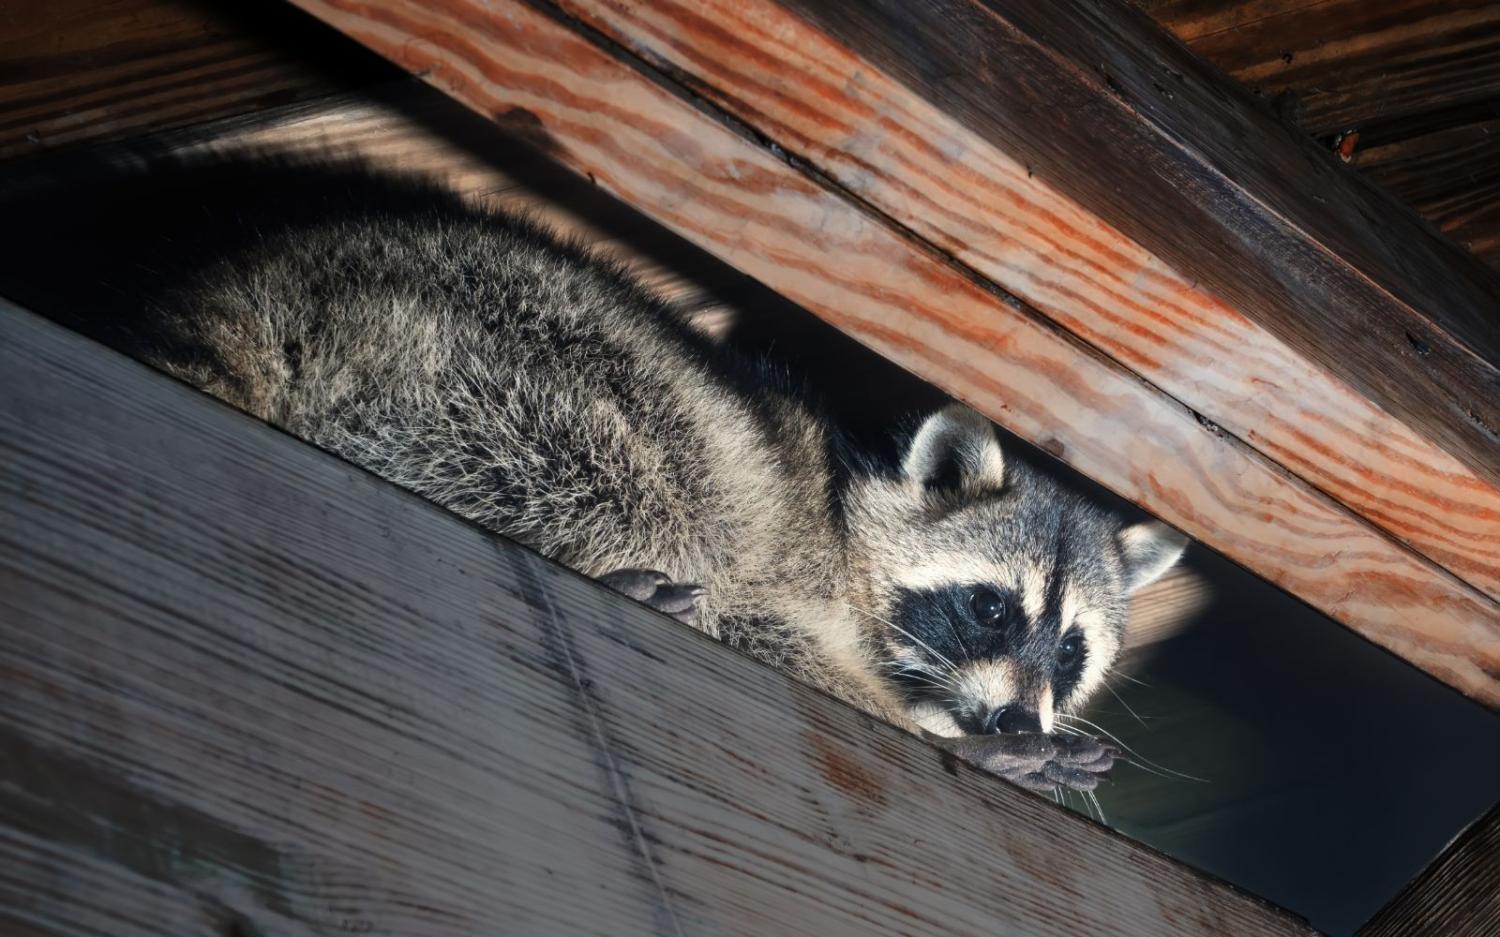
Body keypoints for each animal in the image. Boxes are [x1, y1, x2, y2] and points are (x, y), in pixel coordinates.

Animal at [0, 157, 1188, 791]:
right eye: (990, 608)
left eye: (1071, 648)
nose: (1019, 723)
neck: (848, 511)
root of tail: (268, 279)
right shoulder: (784, 563)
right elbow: (767, 625)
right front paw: (937, 734)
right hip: (502, 362)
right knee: (636, 470)